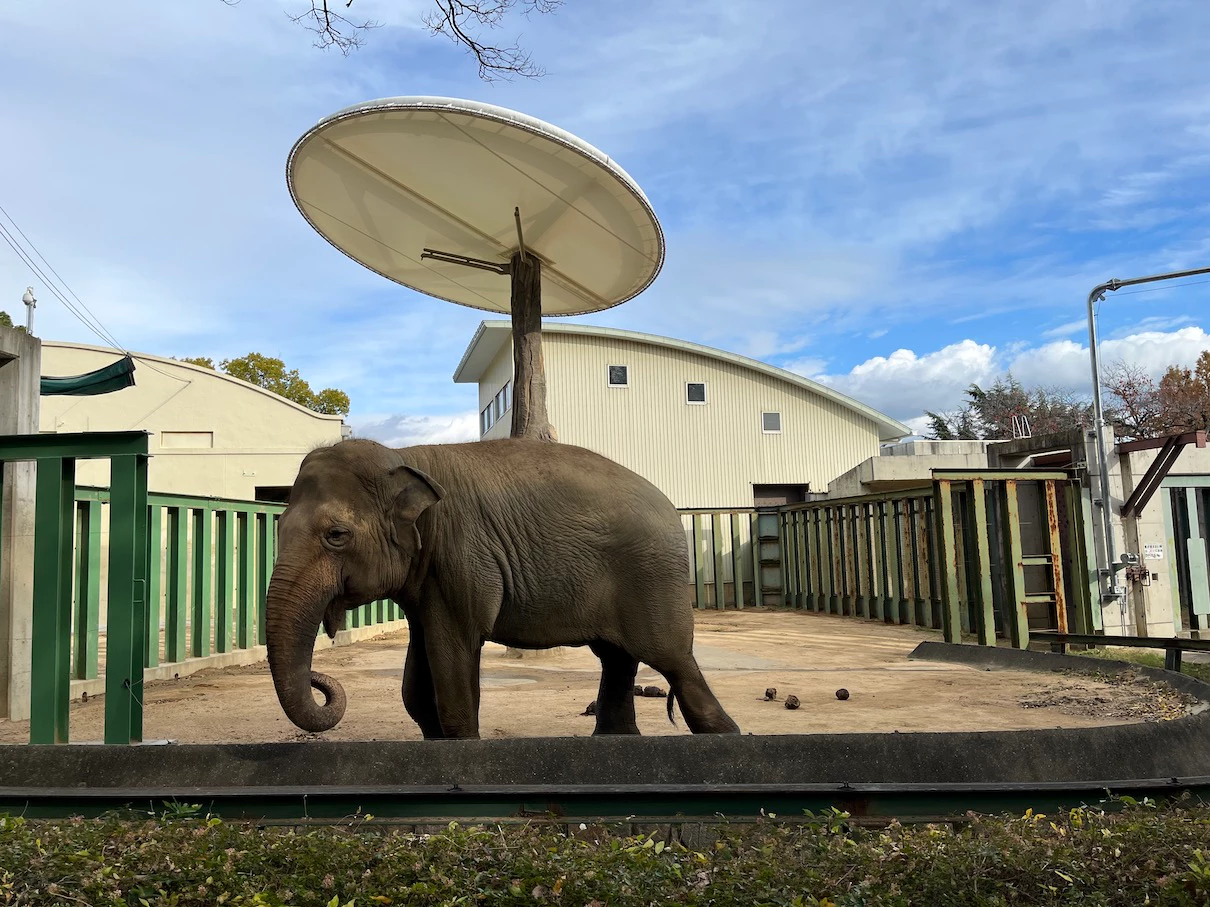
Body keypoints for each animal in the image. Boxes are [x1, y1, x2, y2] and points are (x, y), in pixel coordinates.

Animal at [265, 437, 741, 738]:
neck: (402, 456)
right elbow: (414, 687)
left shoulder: (462, 556)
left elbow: (453, 661)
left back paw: (726, 735)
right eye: (278, 527)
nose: (318, 678)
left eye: (336, 535)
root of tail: (672, 507)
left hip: (653, 579)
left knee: (673, 660)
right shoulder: (429, 576)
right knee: (617, 658)